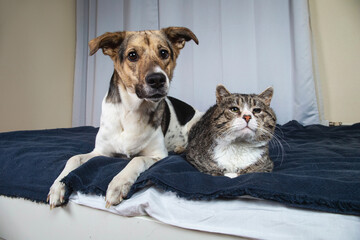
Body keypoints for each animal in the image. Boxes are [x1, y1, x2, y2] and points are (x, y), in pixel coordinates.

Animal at [46, 26, 201, 208]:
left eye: (163, 53)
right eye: (132, 55)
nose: (157, 79)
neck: (132, 111)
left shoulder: (158, 155)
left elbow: (137, 160)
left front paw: (118, 185)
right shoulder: (101, 152)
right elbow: (73, 158)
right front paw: (58, 186)